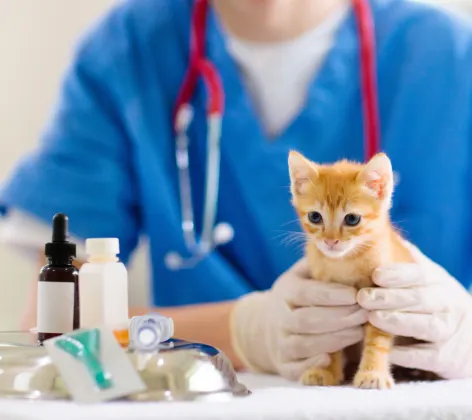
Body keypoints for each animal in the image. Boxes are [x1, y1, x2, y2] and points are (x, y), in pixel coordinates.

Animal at [284, 149, 412, 388]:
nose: (330, 241)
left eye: (352, 219)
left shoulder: (381, 298)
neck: (345, 262)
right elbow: (330, 338)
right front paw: (325, 371)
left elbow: (376, 340)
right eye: (315, 217)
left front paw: (372, 373)